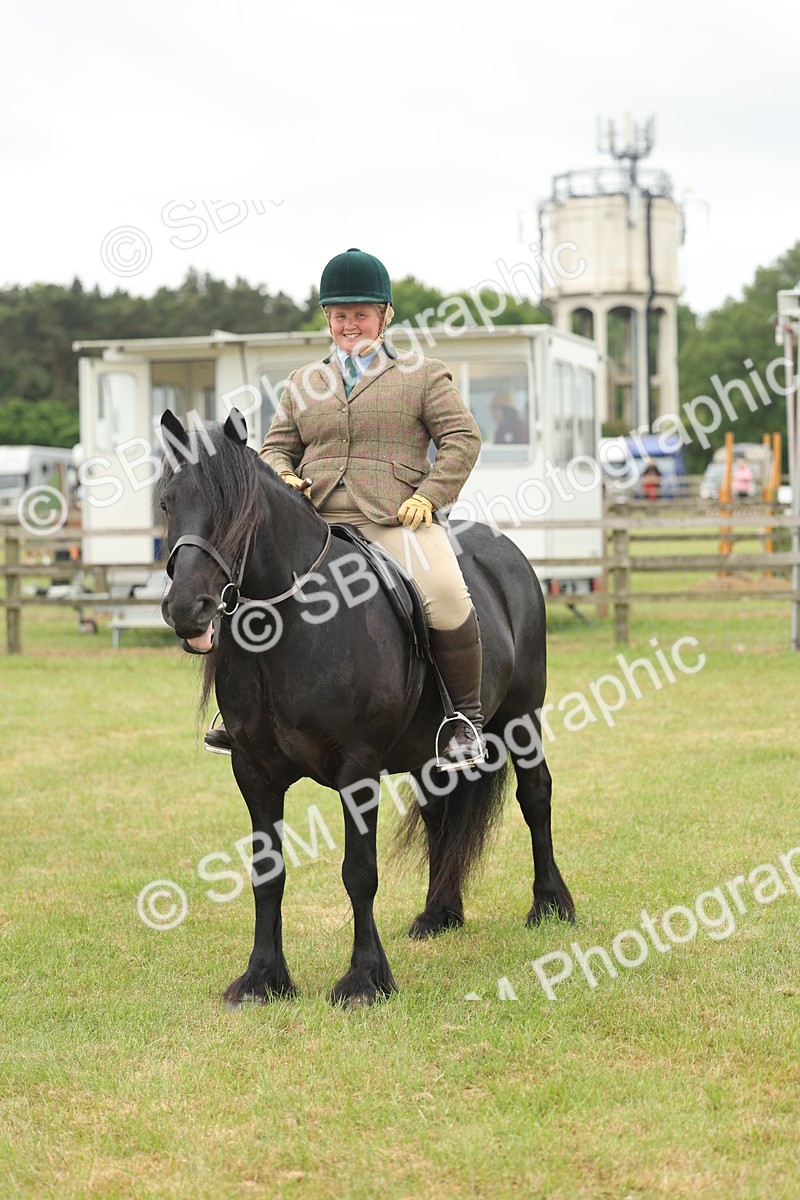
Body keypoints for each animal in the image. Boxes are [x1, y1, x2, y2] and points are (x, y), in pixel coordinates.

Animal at [157, 408, 575, 1008]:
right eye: (168, 502)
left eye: (239, 510)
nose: (188, 609)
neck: (291, 628)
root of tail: (504, 551)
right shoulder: (253, 772)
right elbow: (266, 872)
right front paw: (263, 977)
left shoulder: (357, 769)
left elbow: (359, 872)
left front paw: (365, 979)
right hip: (431, 750)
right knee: (438, 814)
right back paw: (439, 913)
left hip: (522, 718)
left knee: (535, 796)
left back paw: (550, 905)